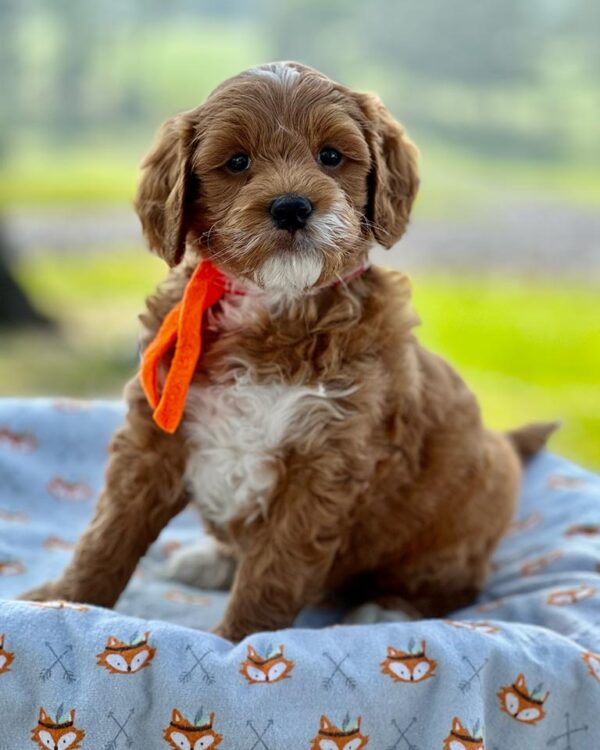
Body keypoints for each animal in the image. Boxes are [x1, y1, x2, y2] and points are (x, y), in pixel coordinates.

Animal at [22, 63, 556, 640]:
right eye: (238, 162)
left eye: (331, 156)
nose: (293, 206)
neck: (272, 303)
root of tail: (504, 444)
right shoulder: (154, 436)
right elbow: (109, 531)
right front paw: (61, 601)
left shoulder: (324, 464)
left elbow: (274, 569)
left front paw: (237, 642)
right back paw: (212, 559)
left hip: (453, 533)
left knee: (456, 584)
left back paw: (387, 608)